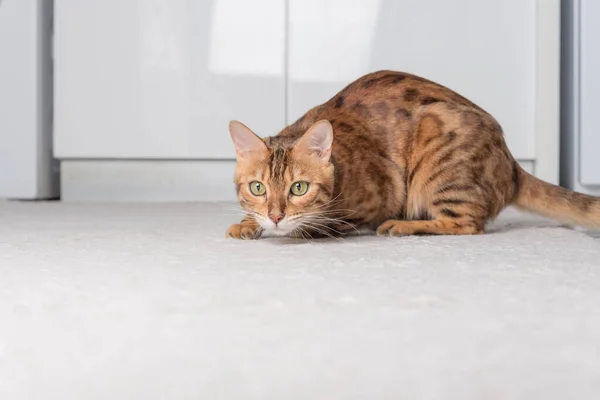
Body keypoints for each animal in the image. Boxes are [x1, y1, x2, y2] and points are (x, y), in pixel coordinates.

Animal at [226, 70, 600, 239]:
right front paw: (248, 223)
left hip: (438, 158)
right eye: (258, 188)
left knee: (467, 224)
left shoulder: (384, 193)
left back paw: (403, 226)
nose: (276, 216)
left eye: (299, 188)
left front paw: (303, 229)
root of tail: (511, 163)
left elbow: (327, 224)